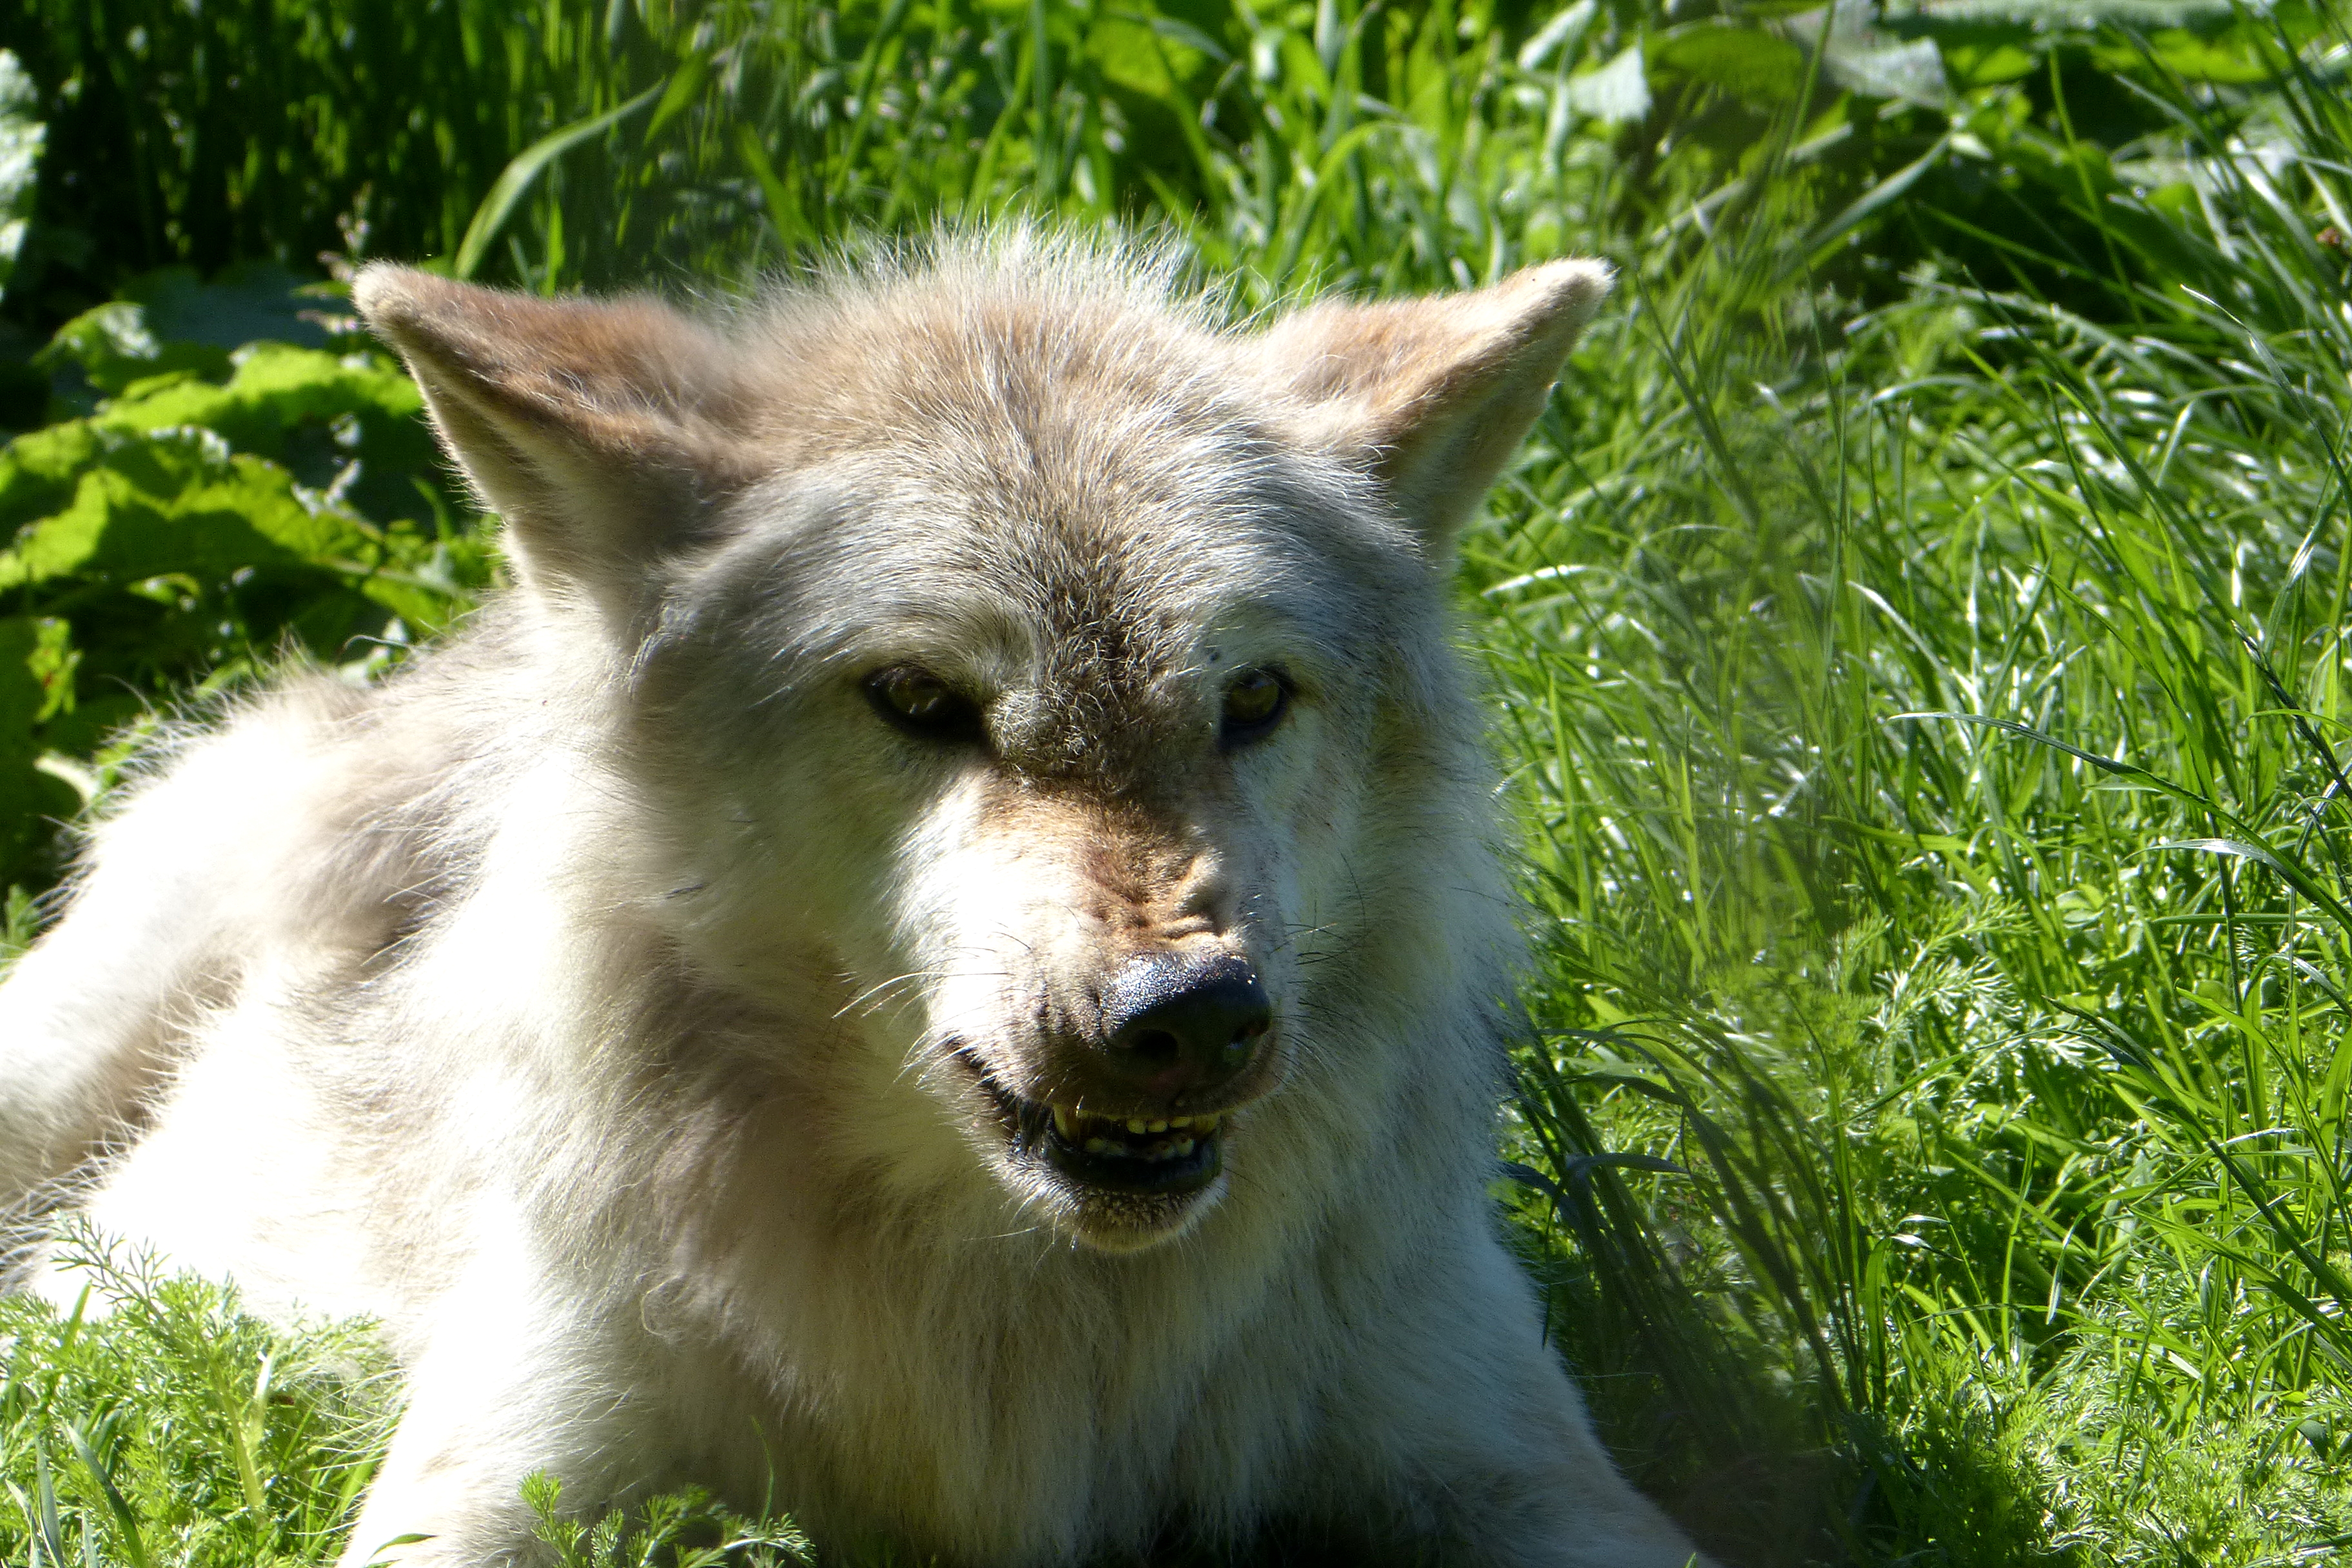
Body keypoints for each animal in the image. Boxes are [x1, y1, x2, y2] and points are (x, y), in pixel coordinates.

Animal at [0, 233, 1708, 1568]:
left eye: (1254, 699)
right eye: (918, 699)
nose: (1191, 1018)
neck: (1020, 1334)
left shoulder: (1519, 1462)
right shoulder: (499, 1478)